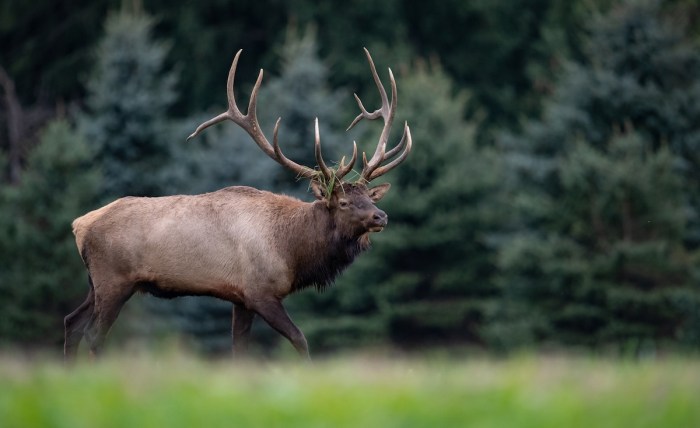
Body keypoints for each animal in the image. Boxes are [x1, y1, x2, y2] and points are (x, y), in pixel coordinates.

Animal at [64, 48, 411, 361]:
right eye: (343, 202)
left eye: (368, 197)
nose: (381, 216)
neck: (292, 250)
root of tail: (80, 225)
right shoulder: (260, 292)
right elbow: (300, 339)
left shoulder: (240, 298)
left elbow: (240, 350)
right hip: (114, 280)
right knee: (93, 334)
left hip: (96, 283)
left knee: (71, 322)